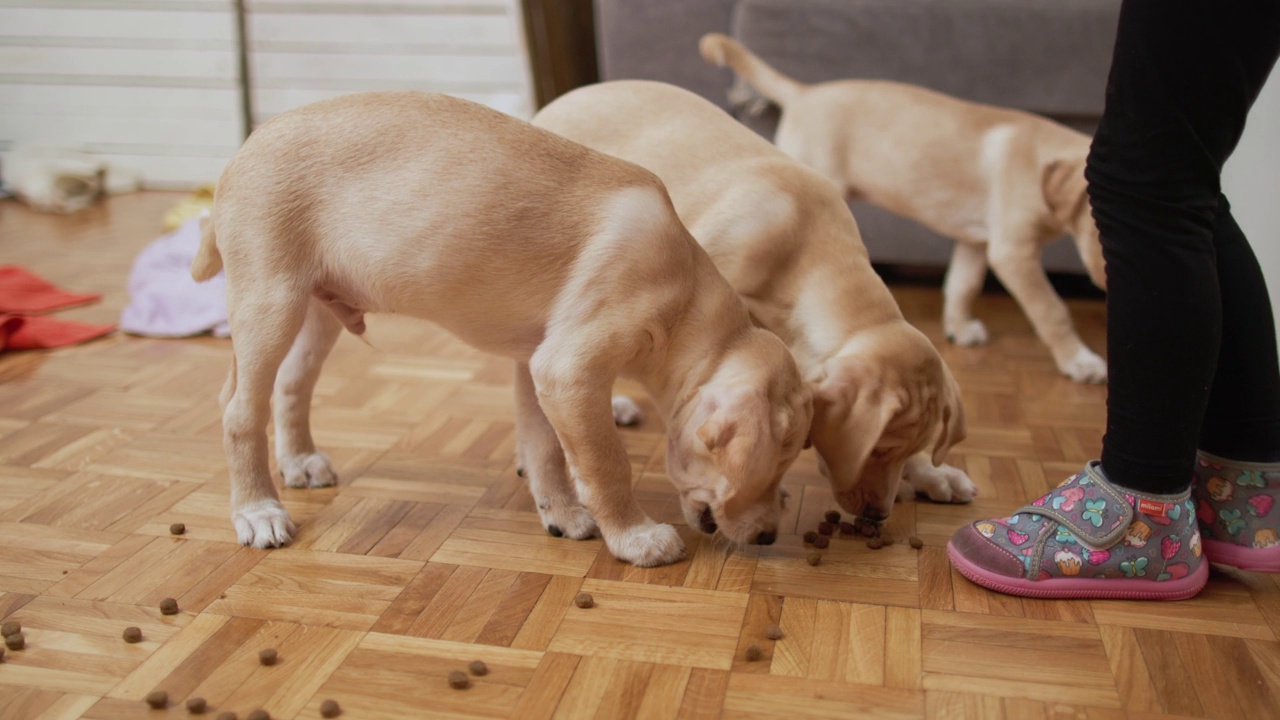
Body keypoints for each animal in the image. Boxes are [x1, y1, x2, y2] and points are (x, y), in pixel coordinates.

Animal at [189, 89, 808, 563]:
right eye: (772, 465)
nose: (769, 536)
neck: (685, 297)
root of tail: (238, 155)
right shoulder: (568, 371)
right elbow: (607, 463)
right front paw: (634, 537)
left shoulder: (538, 368)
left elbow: (545, 448)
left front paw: (560, 511)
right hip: (270, 304)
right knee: (238, 409)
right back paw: (257, 510)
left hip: (318, 310)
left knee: (292, 386)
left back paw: (298, 462)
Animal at [535, 82, 972, 520]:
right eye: (876, 450)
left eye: (903, 451)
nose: (877, 515)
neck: (807, 248)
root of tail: (563, 99)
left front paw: (932, 474)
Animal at [701, 33, 1111, 381]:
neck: (1041, 159)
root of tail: (805, 93)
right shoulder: (1013, 252)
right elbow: (1052, 309)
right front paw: (1079, 361)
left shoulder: (975, 241)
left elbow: (962, 284)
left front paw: (959, 328)